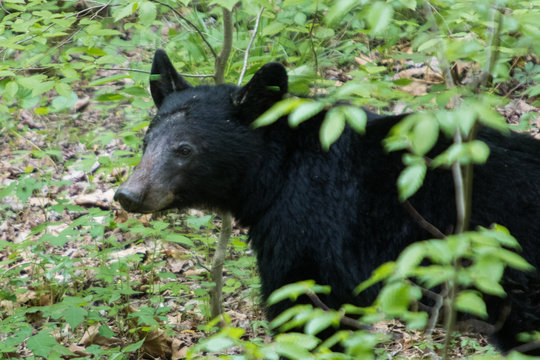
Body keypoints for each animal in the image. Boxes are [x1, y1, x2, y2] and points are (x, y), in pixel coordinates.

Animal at [116, 49, 540, 352]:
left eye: (185, 149)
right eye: (146, 142)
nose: (128, 194)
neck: (278, 174)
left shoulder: (313, 232)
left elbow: (306, 309)